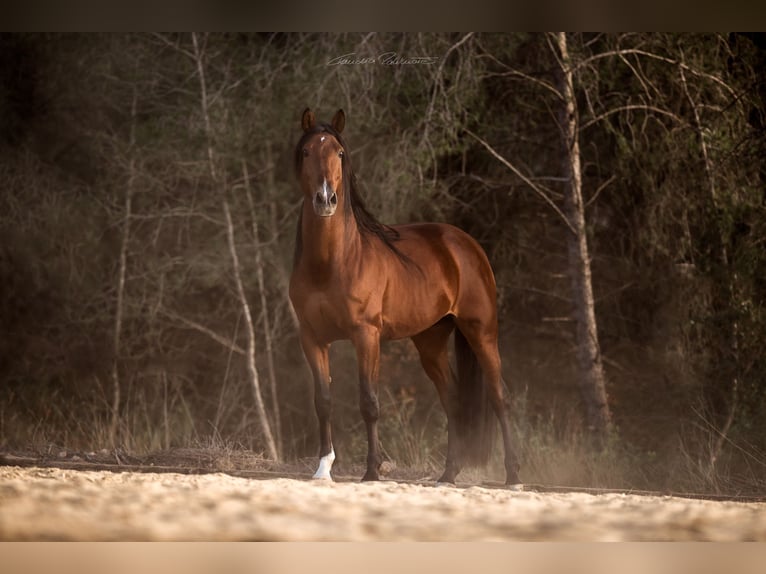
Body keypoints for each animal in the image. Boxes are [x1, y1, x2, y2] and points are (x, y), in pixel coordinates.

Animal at [292, 108, 524, 486]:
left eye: (339, 153)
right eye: (307, 151)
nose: (325, 199)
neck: (331, 263)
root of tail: (465, 243)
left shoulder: (366, 335)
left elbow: (369, 402)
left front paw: (373, 470)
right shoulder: (312, 338)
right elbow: (322, 401)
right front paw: (323, 469)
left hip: (481, 331)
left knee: (499, 396)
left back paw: (513, 475)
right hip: (430, 341)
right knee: (453, 401)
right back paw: (448, 474)